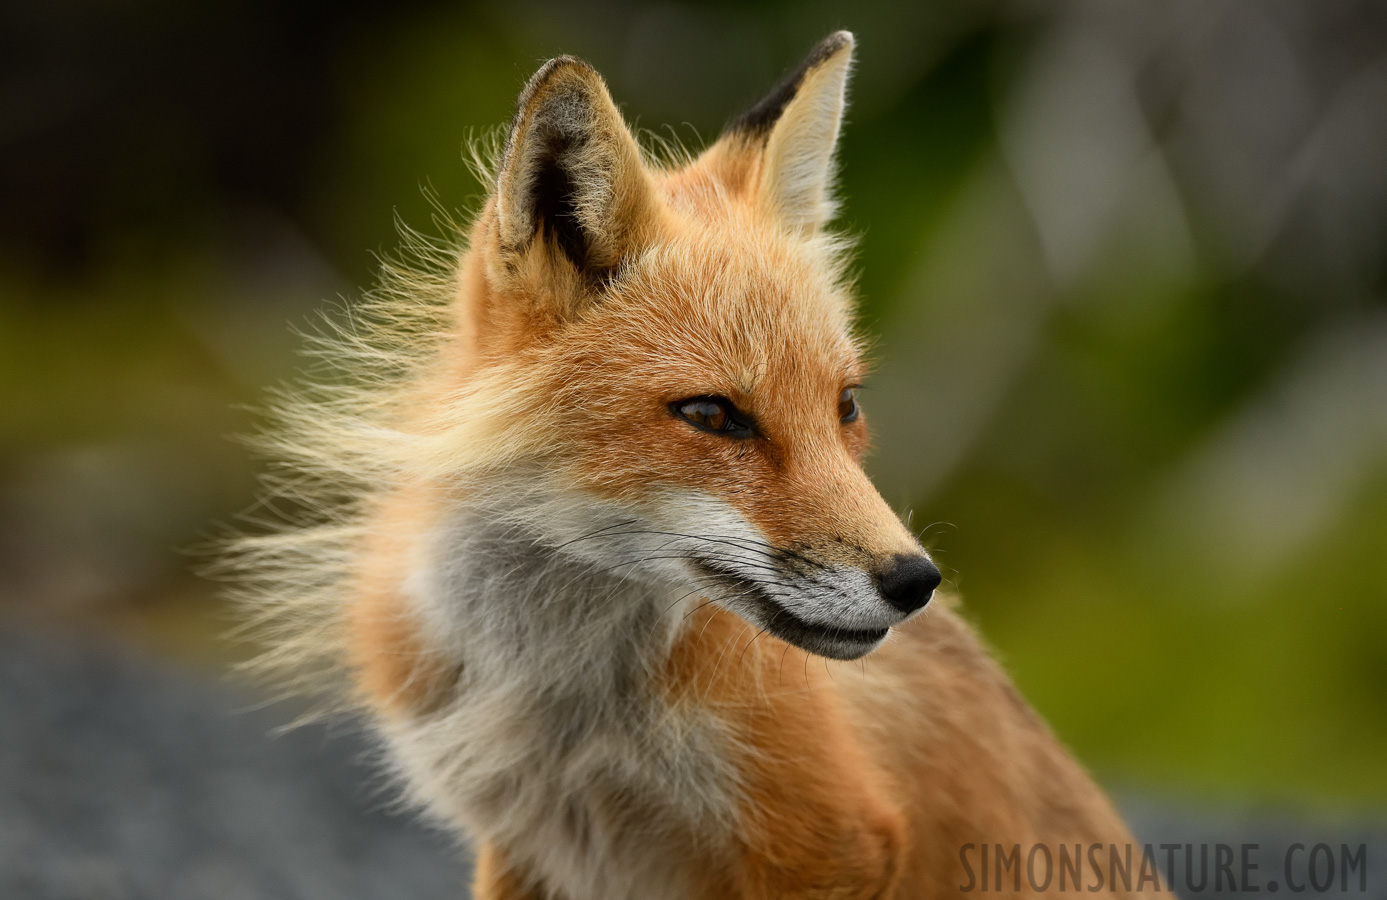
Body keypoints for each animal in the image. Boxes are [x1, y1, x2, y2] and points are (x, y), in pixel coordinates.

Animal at [233, 31, 1153, 893]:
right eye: (712, 415)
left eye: (844, 406)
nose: (915, 582)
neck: (565, 719)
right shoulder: (523, 843)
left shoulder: (831, 843)